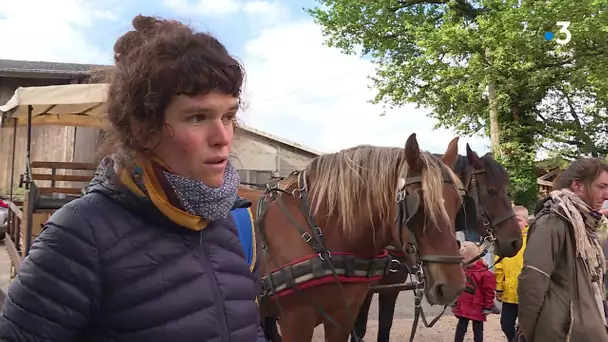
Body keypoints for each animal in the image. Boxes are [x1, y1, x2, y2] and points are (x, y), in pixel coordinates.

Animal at [352, 138, 524, 342]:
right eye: (490, 191)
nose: (516, 242)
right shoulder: (363, 293)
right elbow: (358, 330)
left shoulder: (389, 290)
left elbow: (384, 327)